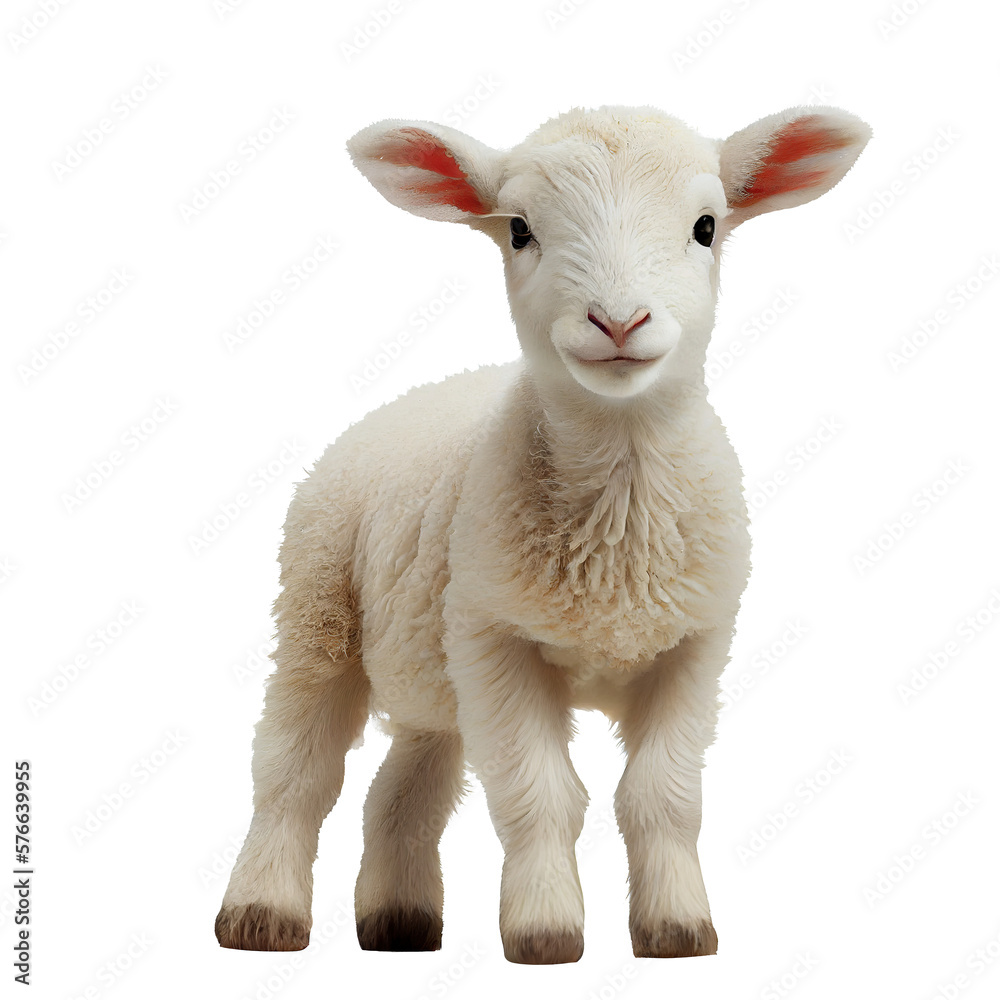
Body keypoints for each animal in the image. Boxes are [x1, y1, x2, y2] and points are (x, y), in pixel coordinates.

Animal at [214, 103, 870, 964]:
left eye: (706, 226)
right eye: (520, 230)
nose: (618, 321)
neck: (619, 534)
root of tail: (404, 402)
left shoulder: (695, 644)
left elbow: (663, 795)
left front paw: (677, 930)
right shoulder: (495, 638)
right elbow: (540, 796)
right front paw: (546, 931)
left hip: (433, 668)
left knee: (403, 785)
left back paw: (400, 922)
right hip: (319, 605)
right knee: (294, 770)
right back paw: (262, 912)